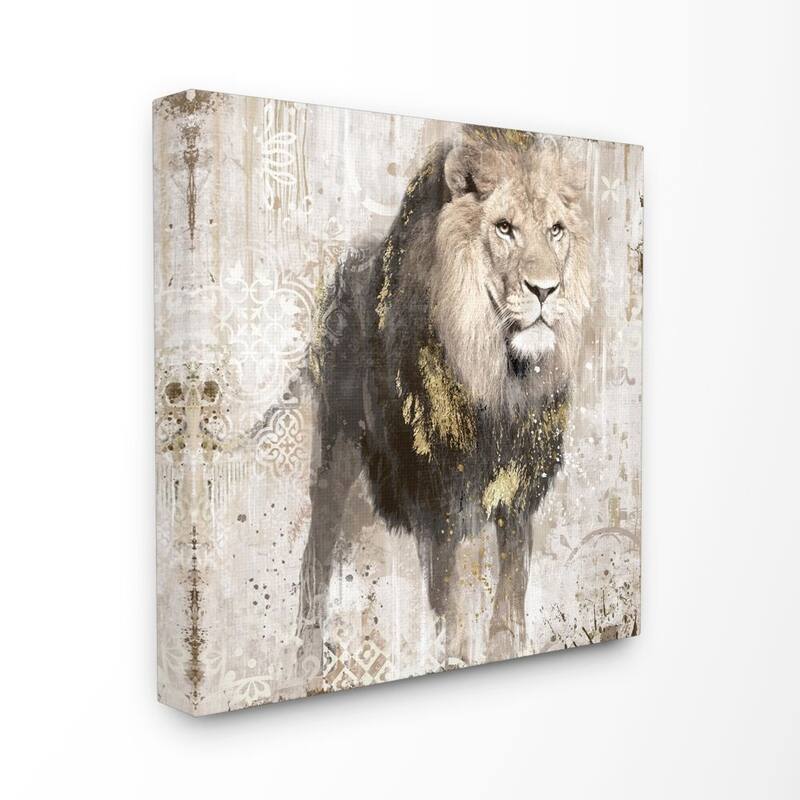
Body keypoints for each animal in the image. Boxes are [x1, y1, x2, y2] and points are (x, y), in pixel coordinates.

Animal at [298, 125, 592, 671]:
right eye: (504, 228)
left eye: (556, 230)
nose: (546, 290)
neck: (500, 379)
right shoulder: (435, 495)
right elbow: (448, 600)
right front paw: (452, 654)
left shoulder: (519, 489)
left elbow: (513, 586)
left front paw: (506, 644)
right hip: (337, 448)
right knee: (317, 550)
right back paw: (304, 656)